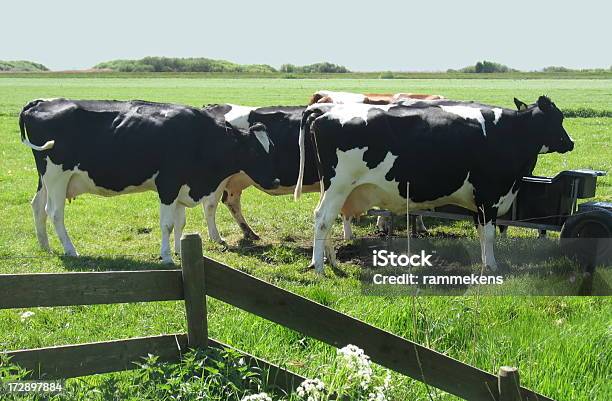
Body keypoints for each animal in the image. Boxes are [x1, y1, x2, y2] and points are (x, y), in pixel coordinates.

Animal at [20, 99, 280, 262]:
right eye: (255, 151)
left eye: (272, 147)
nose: (276, 181)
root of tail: (40, 102)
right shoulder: (168, 184)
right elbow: (167, 224)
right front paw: (166, 257)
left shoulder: (182, 187)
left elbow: (180, 223)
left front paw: (180, 252)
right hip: (57, 177)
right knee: (54, 212)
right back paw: (71, 250)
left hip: (45, 178)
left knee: (37, 206)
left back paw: (45, 247)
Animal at [296, 96, 572, 272]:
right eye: (558, 119)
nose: (570, 143)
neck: (512, 133)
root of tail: (325, 112)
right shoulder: (489, 196)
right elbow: (489, 235)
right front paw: (493, 266)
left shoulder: (478, 201)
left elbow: (481, 234)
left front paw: (485, 262)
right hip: (338, 186)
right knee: (322, 219)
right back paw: (319, 266)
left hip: (334, 189)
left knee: (325, 219)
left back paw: (331, 261)